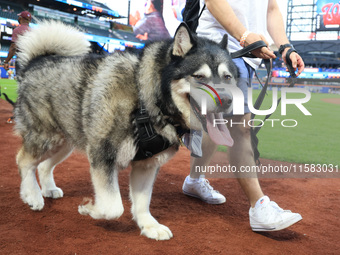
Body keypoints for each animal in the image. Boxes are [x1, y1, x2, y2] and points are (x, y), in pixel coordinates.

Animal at [14, 20, 238, 240]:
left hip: (64, 143)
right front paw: (90, 209)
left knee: (43, 165)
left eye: (227, 77)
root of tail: (37, 60)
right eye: (199, 76)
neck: (145, 99)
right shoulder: (103, 155)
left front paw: (148, 225)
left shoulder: (147, 164)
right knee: (24, 160)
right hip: (45, 137)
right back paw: (32, 195)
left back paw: (48, 189)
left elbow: (142, 202)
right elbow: (113, 208)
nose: (227, 100)